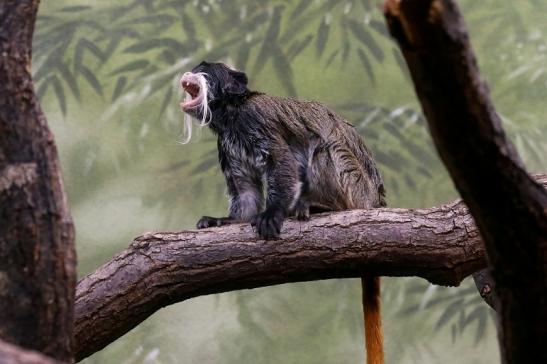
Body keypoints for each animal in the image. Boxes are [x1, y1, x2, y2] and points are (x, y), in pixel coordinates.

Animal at [180, 61, 386, 362]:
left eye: (204, 71)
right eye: (195, 68)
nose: (188, 75)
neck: (231, 117)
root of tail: (377, 201)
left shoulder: (256, 120)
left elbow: (283, 160)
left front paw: (273, 213)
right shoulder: (227, 147)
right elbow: (245, 193)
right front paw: (222, 221)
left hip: (359, 189)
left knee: (322, 146)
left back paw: (320, 206)